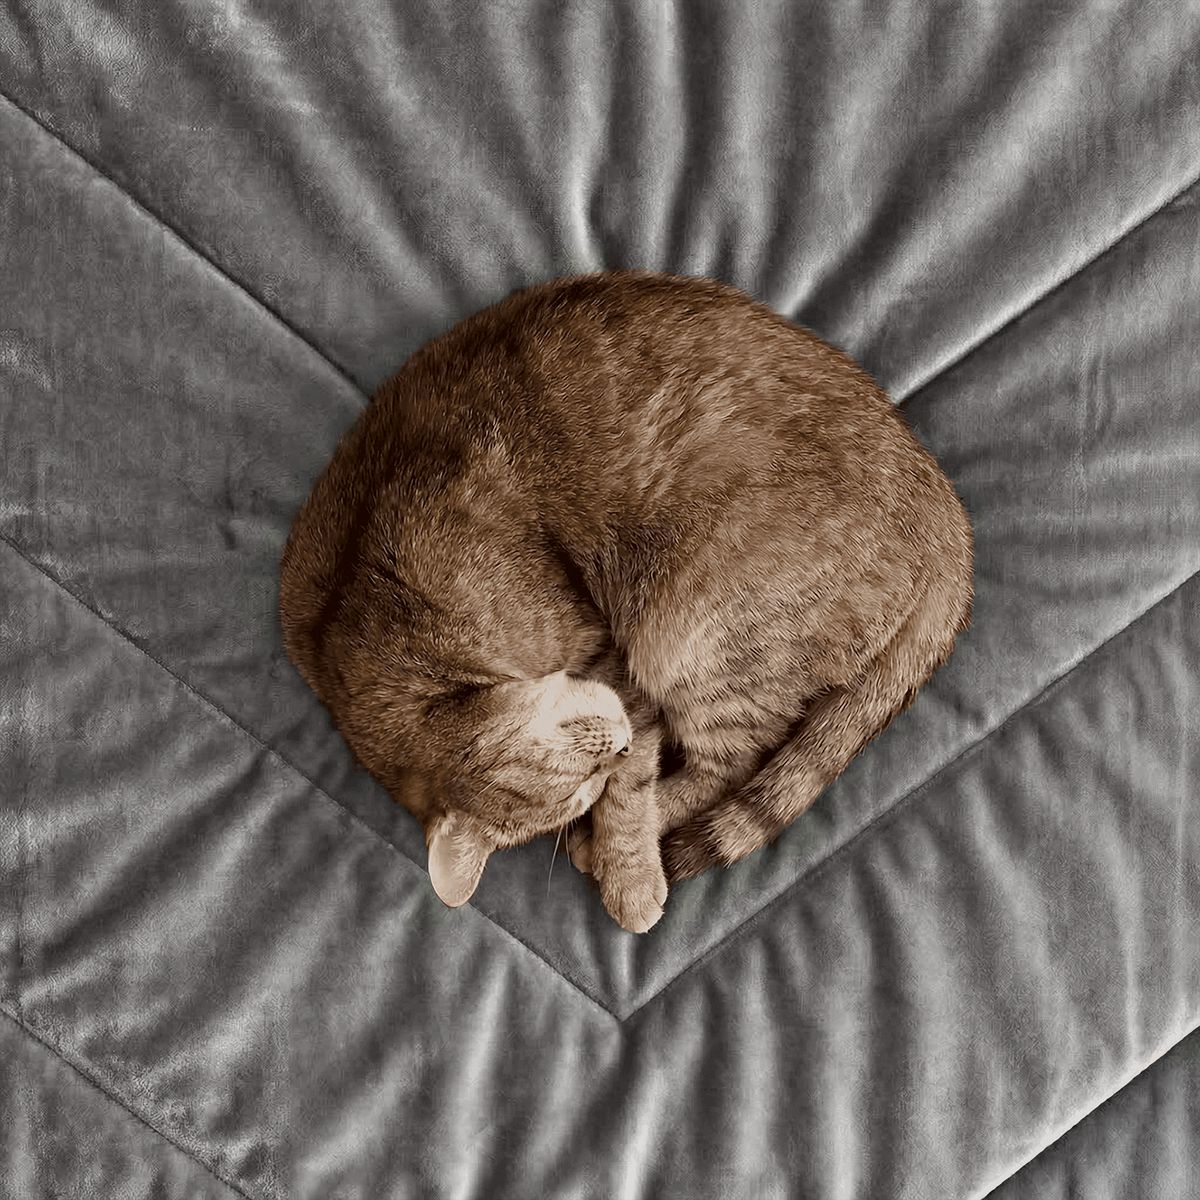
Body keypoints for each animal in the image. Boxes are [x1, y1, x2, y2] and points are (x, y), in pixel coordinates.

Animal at [278, 270, 972, 932]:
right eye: (576, 790)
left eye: (583, 769)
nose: (611, 745)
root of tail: (948, 521)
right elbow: (640, 771)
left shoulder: (609, 653)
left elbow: (635, 786)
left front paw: (629, 872)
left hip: (690, 636)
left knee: (738, 758)